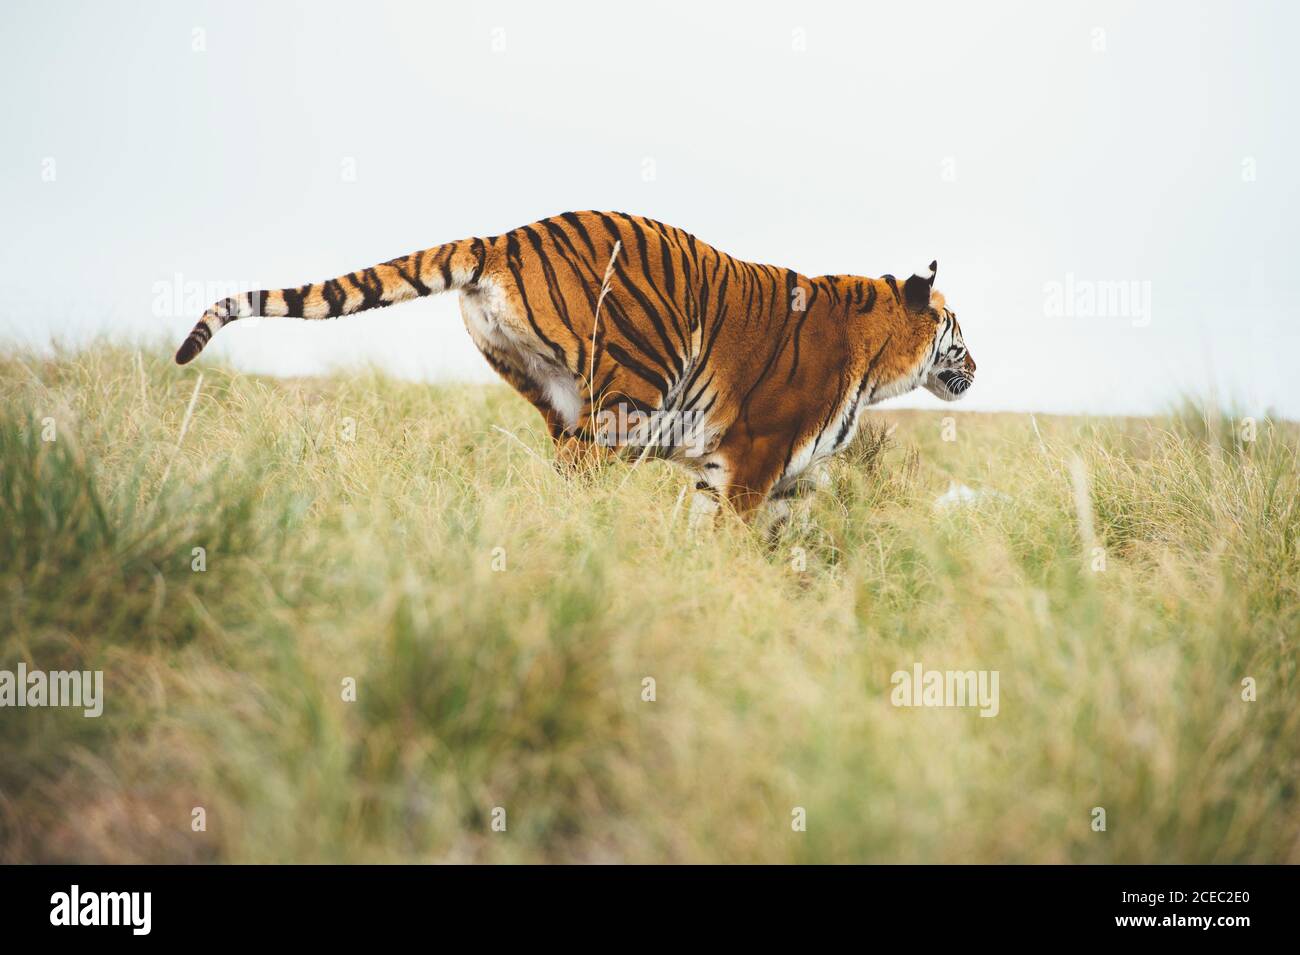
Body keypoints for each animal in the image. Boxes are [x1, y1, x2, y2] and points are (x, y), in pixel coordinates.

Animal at [178, 213, 977, 519]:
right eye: (959, 335)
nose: (977, 367)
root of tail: (505, 237)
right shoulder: (752, 457)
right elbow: (727, 534)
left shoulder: (767, 474)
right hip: (631, 394)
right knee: (582, 478)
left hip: (560, 398)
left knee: (558, 475)